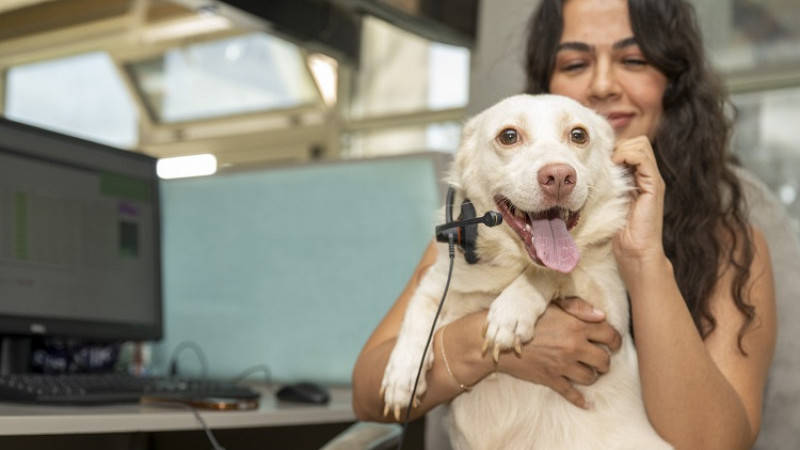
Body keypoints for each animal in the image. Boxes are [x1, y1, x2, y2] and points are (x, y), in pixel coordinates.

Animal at [380, 93, 668, 448]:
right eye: (509, 136)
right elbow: (417, 314)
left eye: (578, 135)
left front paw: (512, 310)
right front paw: (402, 373)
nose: (558, 176)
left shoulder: (607, 310)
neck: (510, 264)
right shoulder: (434, 285)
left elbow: (558, 271)